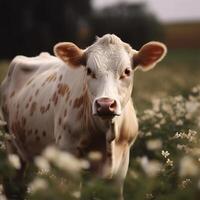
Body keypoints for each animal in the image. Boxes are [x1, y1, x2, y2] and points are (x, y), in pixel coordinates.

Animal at [0, 33, 166, 199]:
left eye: (127, 71)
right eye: (89, 71)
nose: (105, 104)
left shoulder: (122, 162)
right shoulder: (68, 156)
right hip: (11, 147)